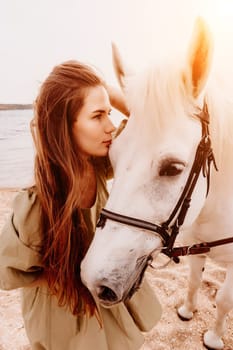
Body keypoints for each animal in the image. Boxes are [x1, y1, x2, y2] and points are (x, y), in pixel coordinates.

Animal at [81, 17, 233, 348]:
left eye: (173, 168)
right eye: (112, 155)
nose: (94, 280)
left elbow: (224, 300)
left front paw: (214, 337)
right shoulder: (197, 246)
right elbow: (194, 280)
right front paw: (187, 310)